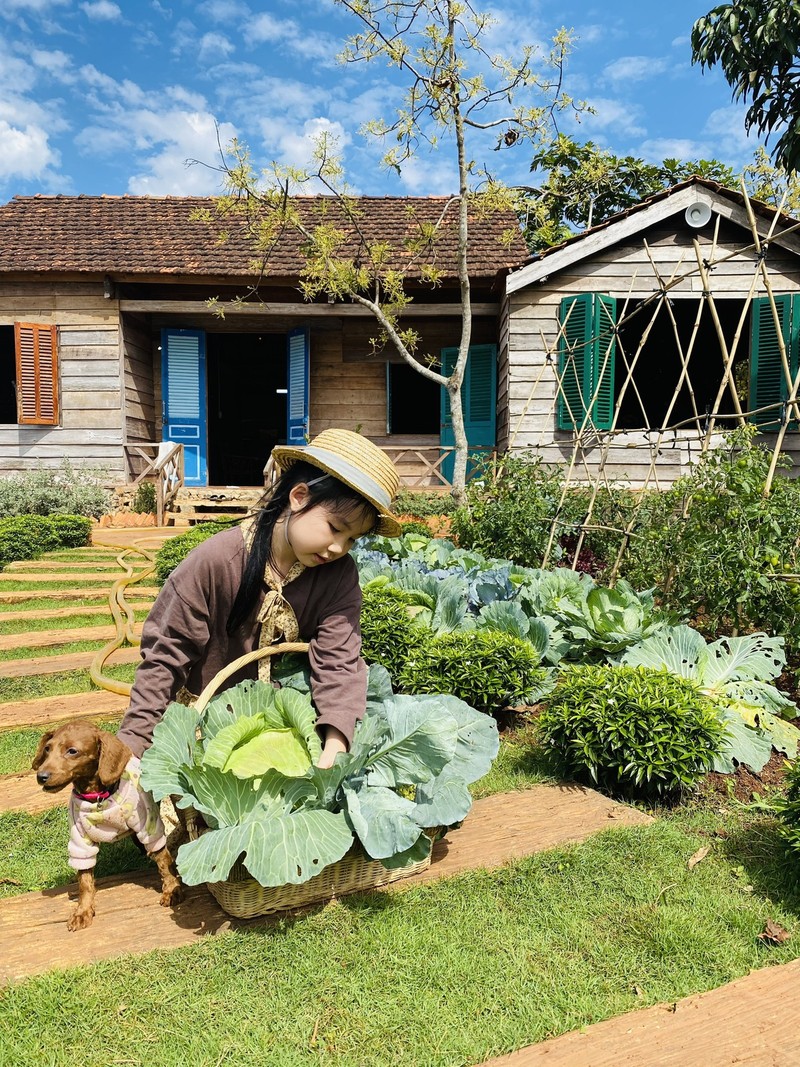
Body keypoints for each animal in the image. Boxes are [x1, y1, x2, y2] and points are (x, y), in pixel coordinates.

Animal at [32, 721, 183, 930]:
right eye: (47, 748)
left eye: (72, 751)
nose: (42, 776)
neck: (98, 797)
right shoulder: (81, 842)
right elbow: (85, 881)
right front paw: (82, 911)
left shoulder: (149, 827)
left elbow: (163, 859)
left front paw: (171, 889)